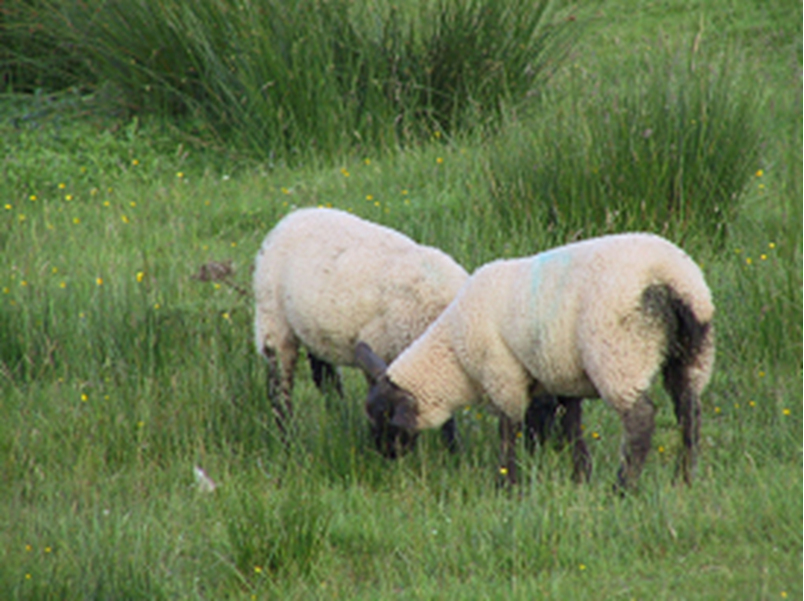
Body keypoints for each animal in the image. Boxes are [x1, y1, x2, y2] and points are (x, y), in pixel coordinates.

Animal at [254, 206, 472, 454]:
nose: (387, 452)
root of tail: (292, 216)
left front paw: (454, 451)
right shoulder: (379, 350)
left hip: (313, 331)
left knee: (325, 378)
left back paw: (340, 418)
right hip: (273, 320)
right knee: (279, 389)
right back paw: (289, 440)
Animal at [358, 231, 716, 488]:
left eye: (386, 418)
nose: (386, 456)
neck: (453, 357)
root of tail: (668, 277)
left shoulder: (502, 375)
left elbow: (508, 430)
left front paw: (507, 485)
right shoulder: (563, 376)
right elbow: (571, 427)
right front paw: (580, 477)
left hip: (618, 352)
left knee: (641, 420)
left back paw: (623, 488)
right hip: (693, 352)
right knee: (689, 411)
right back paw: (684, 479)